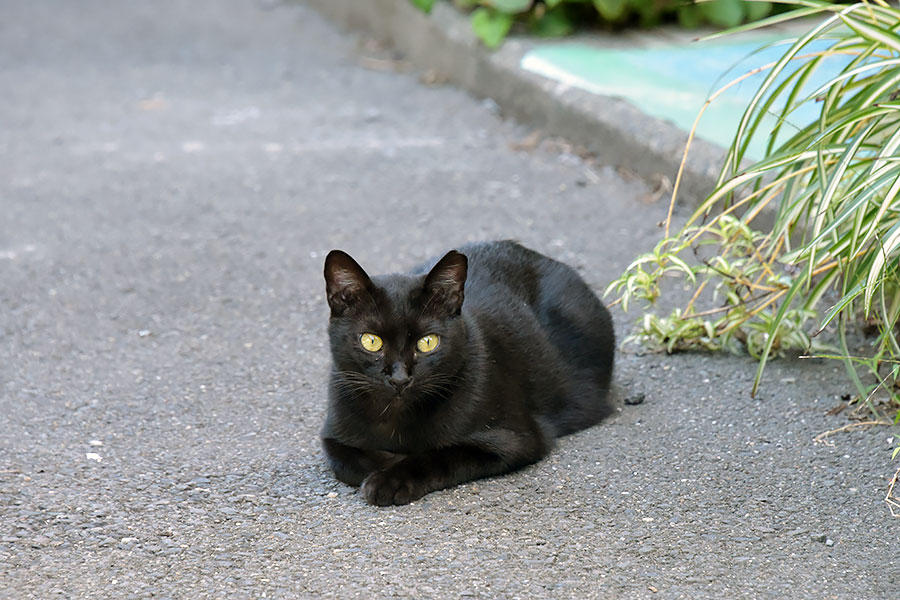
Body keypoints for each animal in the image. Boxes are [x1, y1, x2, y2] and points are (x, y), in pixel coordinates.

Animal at [320, 241, 616, 504]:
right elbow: (345, 461)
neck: (395, 419)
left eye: (428, 342)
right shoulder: (332, 434)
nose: (400, 378)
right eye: (371, 341)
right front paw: (387, 463)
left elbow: (440, 457)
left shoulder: (516, 439)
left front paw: (391, 480)